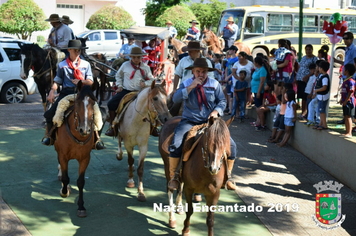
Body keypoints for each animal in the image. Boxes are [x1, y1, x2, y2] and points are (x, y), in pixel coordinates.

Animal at [54, 81, 96, 218]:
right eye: (77, 103)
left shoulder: (85, 158)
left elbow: (81, 182)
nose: (85, 130)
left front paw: (81, 207)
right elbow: (66, 177)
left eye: (93, 103)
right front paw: (64, 191)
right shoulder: (63, 155)